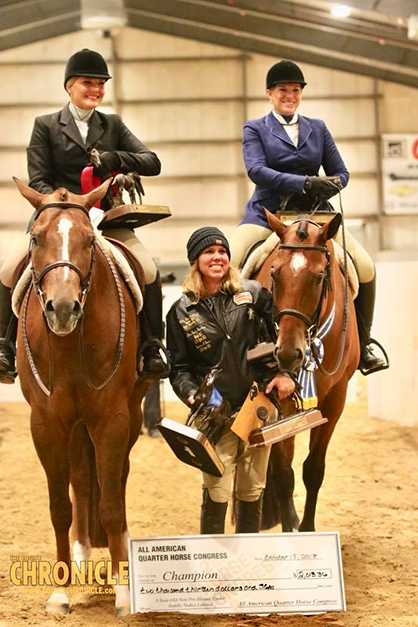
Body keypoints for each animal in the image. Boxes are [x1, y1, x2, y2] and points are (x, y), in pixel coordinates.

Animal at [12, 175, 149, 612]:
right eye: (36, 238)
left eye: (89, 240)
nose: (62, 308)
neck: (71, 343)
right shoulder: (46, 423)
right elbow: (60, 507)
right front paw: (59, 591)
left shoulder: (111, 419)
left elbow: (110, 504)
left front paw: (122, 591)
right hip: (73, 425)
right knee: (80, 478)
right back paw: (81, 549)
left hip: (131, 414)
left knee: (117, 479)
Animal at [255, 212, 360, 536]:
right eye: (274, 273)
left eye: (318, 277)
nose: (288, 355)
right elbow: (283, 473)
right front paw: (291, 529)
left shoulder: (336, 398)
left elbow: (314, 469)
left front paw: (308, 529)